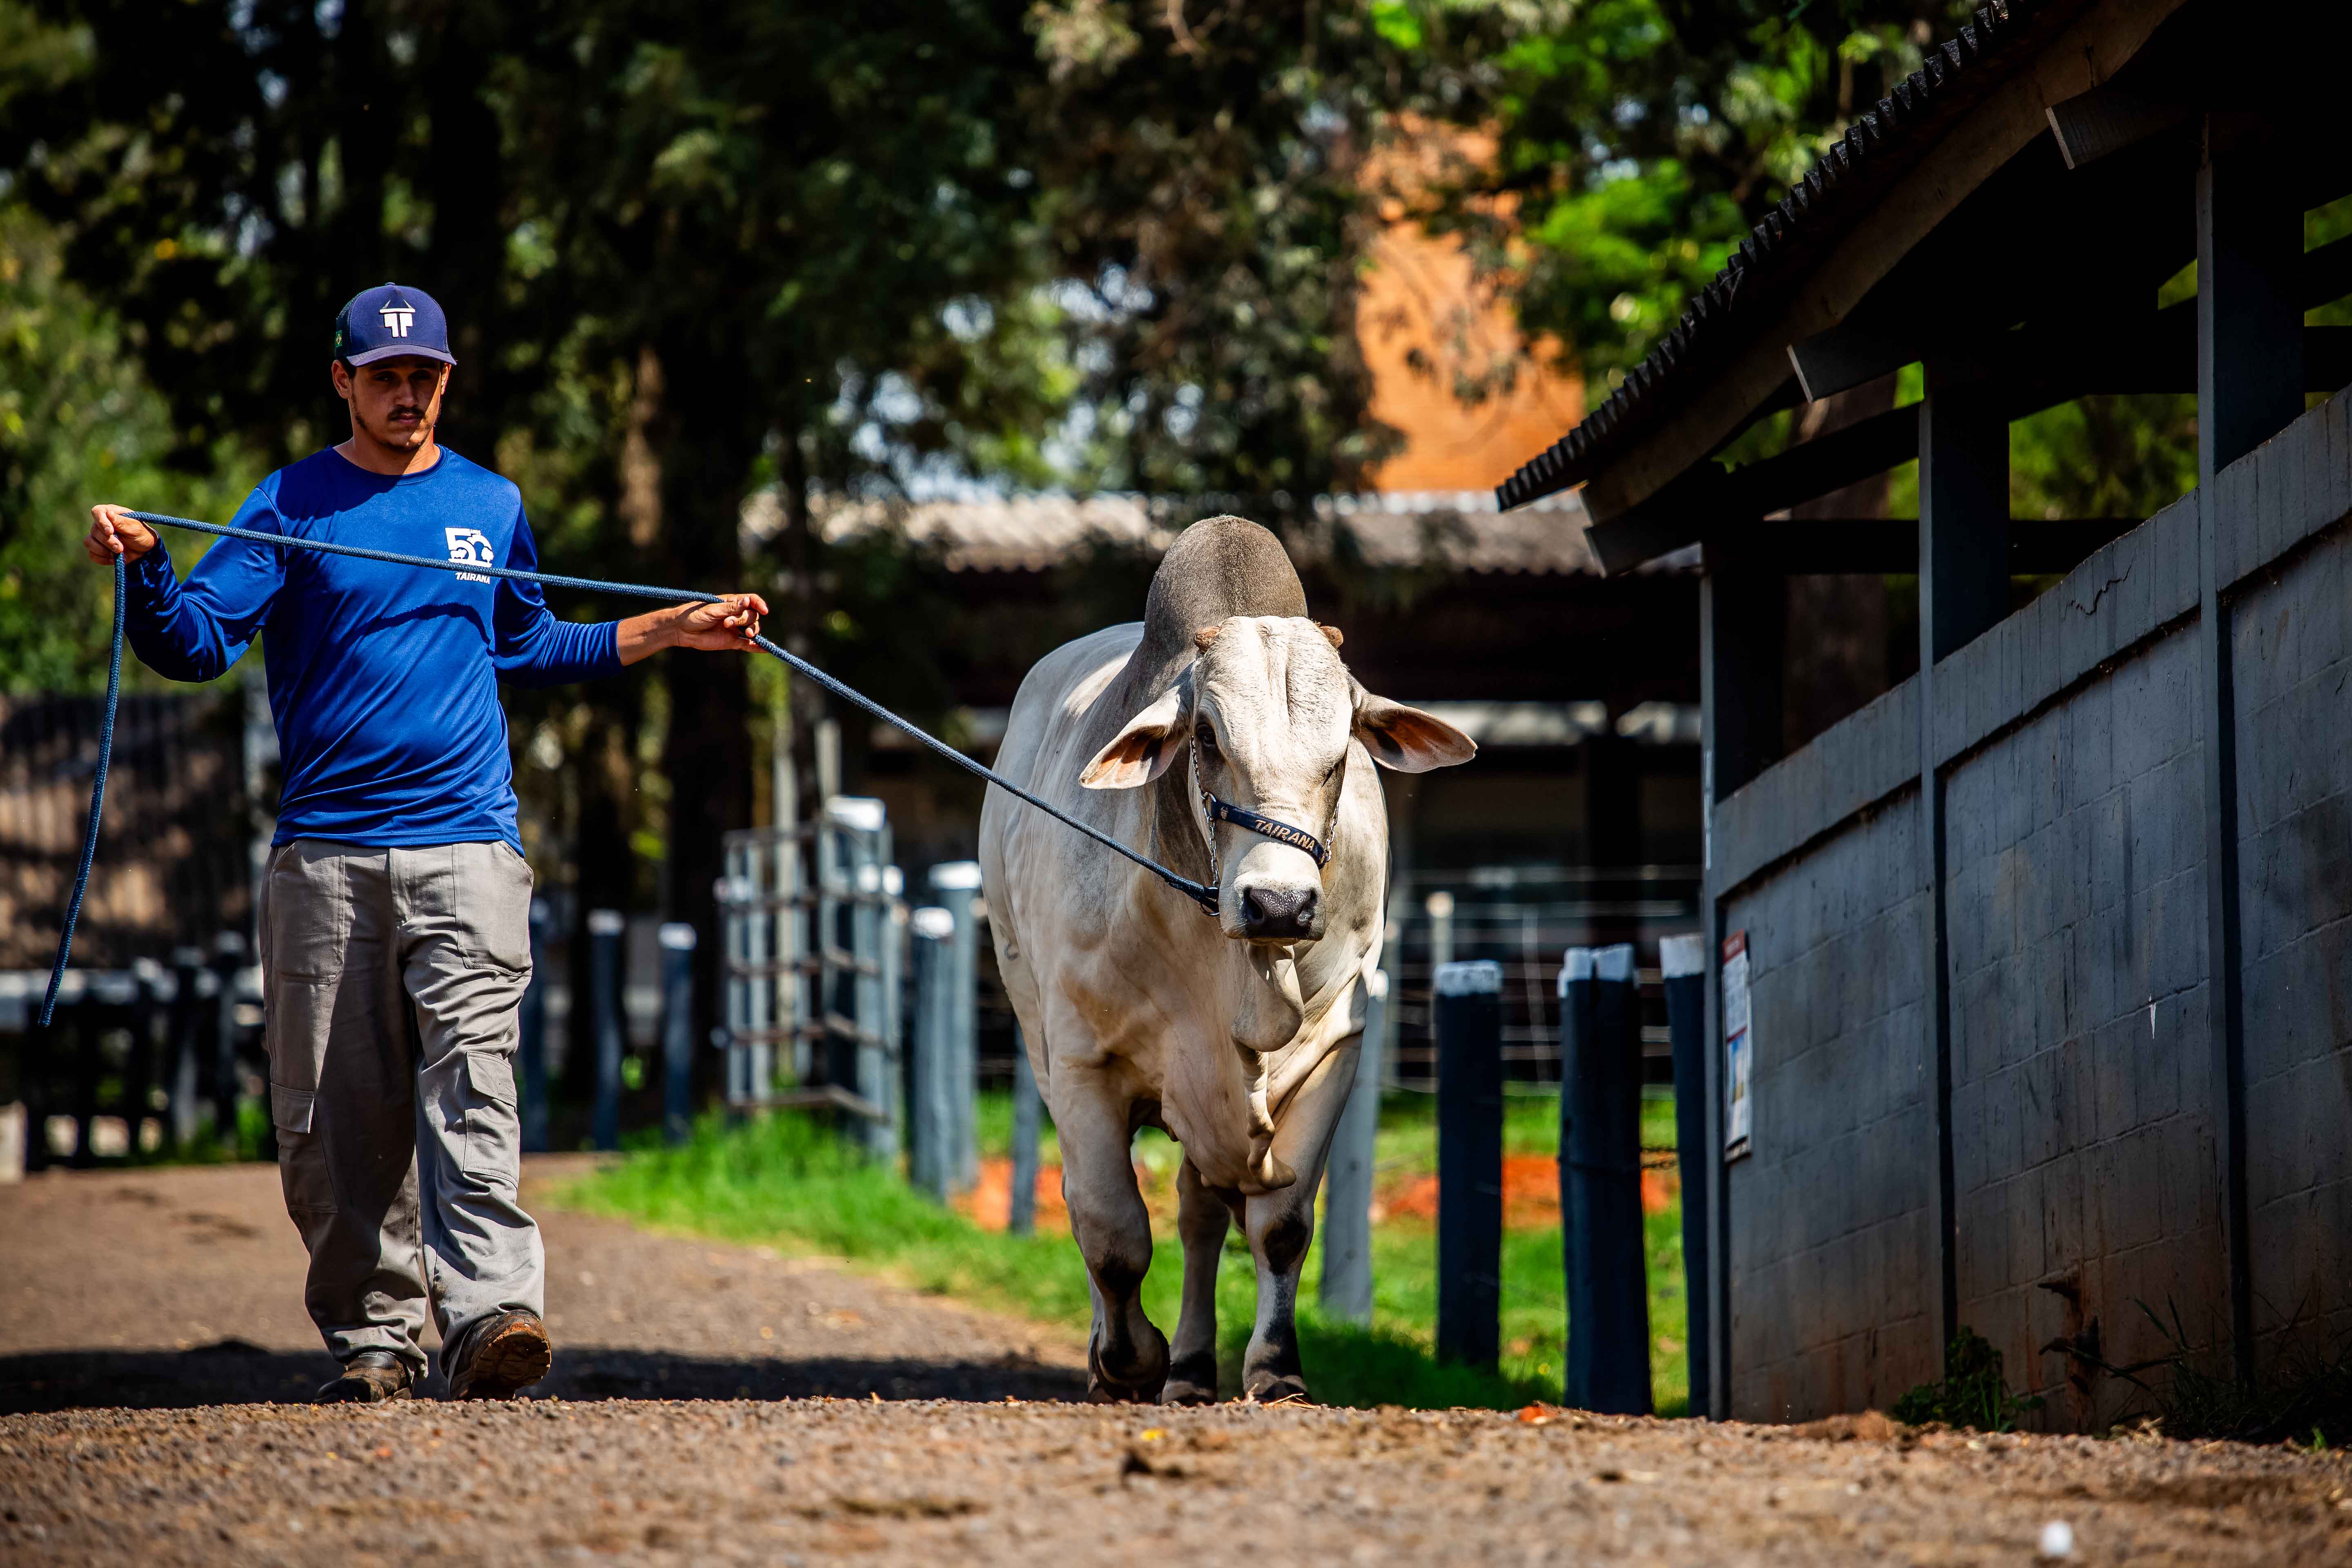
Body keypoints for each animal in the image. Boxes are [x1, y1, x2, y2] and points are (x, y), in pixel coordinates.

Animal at [973, 517, 1468, 1410]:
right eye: (1205, 738)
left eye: (1342, 751)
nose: (1278, 905)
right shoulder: (1083, 1062)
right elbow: (1111, 1231)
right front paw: (1127, 1361)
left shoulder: (1333, 1051)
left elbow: (1280, 1228)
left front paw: (1273, 1368)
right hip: (1038, 1035)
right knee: (1097, 1209)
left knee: (1200, 1213)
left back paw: (1196, 1367)